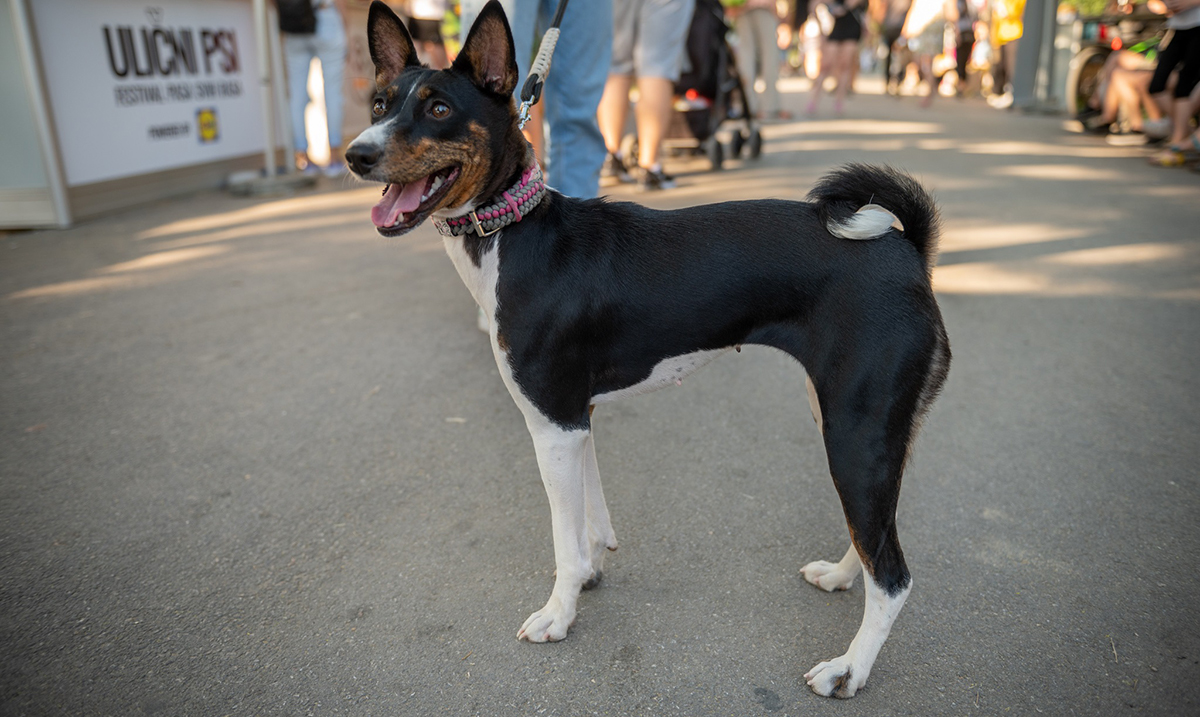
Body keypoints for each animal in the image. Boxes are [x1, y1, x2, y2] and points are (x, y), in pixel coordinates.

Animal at [345, 0, 945, 695]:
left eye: (439, 108)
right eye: (379, 104)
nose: (356, 154)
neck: (515, 236)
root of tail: (906, 250)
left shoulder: (552, 424)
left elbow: (563, 537)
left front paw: (559, 614)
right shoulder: (574, 420)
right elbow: (588, 517)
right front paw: (587, 576)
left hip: (854, 431)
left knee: (894, 575)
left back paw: (849, 668)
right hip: (856, 423)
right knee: (875, 535)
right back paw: (843, 575)